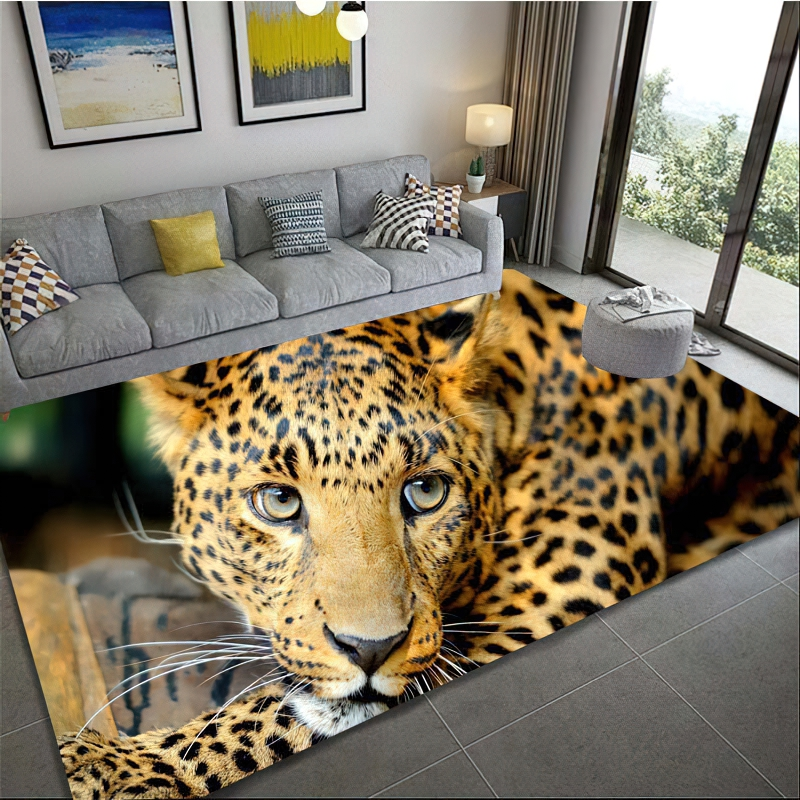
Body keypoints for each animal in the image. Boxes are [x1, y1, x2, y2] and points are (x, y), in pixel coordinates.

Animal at [59, 268, 800, 799]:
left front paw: (122, 763)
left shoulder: (554, 598)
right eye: (277, 501)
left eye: (425, 492)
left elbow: (264, 712)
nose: (369, 648)